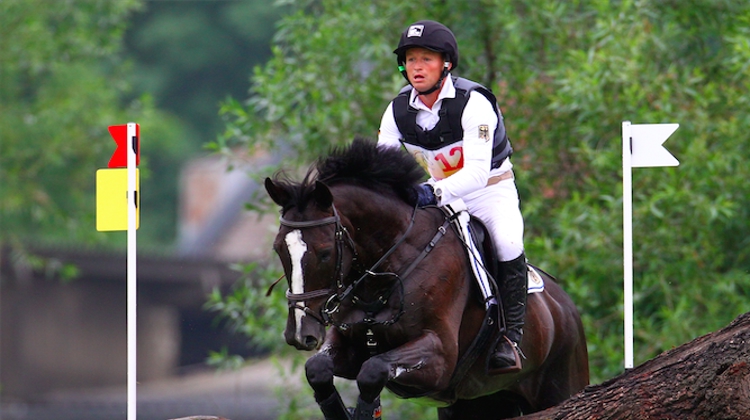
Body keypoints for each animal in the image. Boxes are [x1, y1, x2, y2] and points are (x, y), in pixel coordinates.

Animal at [268, 139, 592, 418]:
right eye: (278, 248)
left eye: (324, 253)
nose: (300, 334)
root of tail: (567, 307)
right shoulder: (349, 345)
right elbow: (318, 369)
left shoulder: (440, 358)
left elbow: (373, 370)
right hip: (478, 402)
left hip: (562, 385)